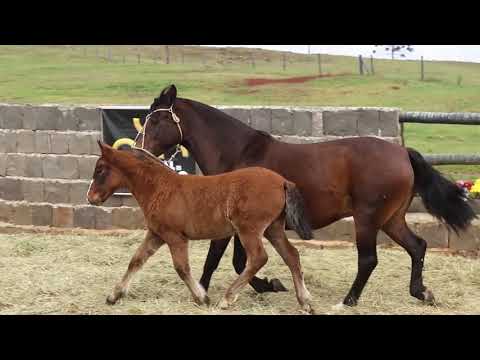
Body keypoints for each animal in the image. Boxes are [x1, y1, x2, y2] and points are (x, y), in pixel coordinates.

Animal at [86, 142, 316, 314]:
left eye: (100, 170)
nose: (91, 198)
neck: (160, 187)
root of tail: (282, 181)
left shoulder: (175, 237)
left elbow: (182, 268)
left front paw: (202, 297)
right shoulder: (156, 235)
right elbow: (136, 261)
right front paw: (114, 295)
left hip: (249, 230)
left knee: (259, 258)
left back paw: (226, 299)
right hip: (273, 229)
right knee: (291, 255)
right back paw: (305, 301)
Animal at [135, 84, 476, 306]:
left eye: (157, 119)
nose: (138, 150)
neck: (239, 154)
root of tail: (403, 153)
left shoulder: (231, 224)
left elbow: (218, 260)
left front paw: (204, 292)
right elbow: (238, 261)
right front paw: (271, 285)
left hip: (367, 218)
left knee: (369, 259)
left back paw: (348, 301)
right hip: (391, 219)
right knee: (417, 246)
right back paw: (422, 292)